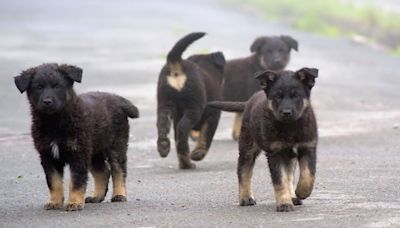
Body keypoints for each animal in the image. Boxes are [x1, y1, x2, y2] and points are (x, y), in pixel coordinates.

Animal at [14, 63, 139, 211]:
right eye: (38, 87)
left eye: (57, 86)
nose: (47, 101)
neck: (55, 122)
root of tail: (116, 98)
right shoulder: (48, 155)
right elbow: (54, 182)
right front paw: (55, 202)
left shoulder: (78, 153)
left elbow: (76, 181)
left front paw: (74, 202)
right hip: (94, 151)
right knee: (103, 172)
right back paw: (96, 197)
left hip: (116, 145)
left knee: (119, 170)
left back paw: (119, 195)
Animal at [156, 32, 225, 168]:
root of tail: (177, 63)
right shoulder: (213, 116)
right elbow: (206, 137)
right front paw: (198, 154)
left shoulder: (176, 117)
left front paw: (184, 163)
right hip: (193, 107)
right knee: (183, 129)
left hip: (164, 103)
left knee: (163, 125)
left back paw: (164, 146)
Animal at [209, 67, 318, 212]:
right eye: (277, 96)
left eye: (296, 96)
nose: (286, 112)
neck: (290, 127)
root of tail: (249, 101)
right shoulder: (275, 153)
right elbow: (280, 180)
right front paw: (284, 203)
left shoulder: (308, 147)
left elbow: (308, 175)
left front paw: (300, 192)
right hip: (248, 147)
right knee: (244, 171)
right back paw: (246, 197)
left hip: (288, 156)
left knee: (289, 174)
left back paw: (293, 196)